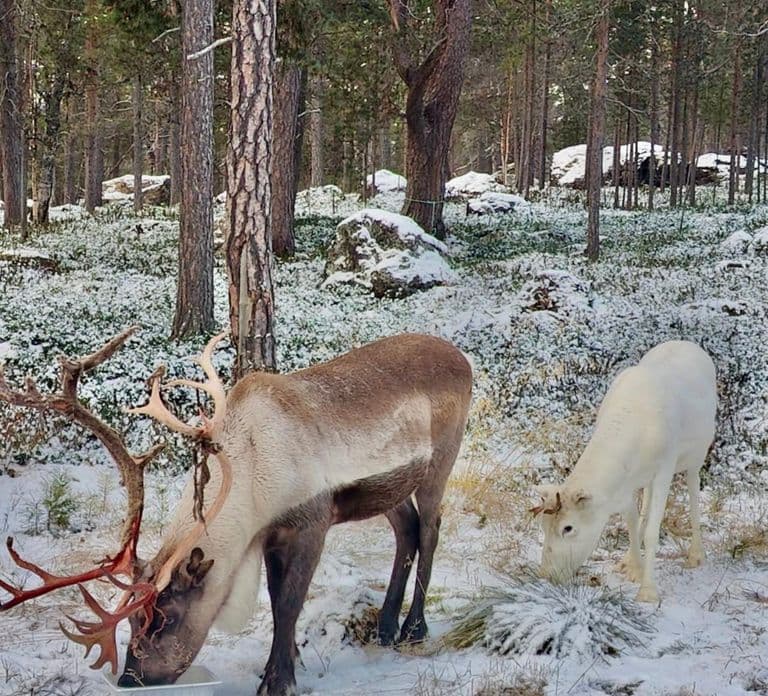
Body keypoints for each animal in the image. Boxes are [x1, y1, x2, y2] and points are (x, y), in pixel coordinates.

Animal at [0, 328, 472, 695]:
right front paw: (284, 663)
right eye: (132, 619)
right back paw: (386, 628)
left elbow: (288, 605)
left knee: (430, 529)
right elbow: (278, 600)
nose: (131, 679)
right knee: (407, 530)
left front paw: (278, 682)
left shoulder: (311, 522)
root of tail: (462, 357)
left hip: (441, 461)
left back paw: (414, 629)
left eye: (163, 619)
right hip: (392, 489)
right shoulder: (271, 536)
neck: (254, 473)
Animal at [532, 340, 717, 603]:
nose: (546, 575)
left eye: (568, 528)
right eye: (543, 526)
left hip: (695, 458)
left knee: (693, 493)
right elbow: (631, 519)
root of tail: (687, 343)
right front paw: (633, 567)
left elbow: (652, 531)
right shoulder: (626, 483)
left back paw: (696, 554)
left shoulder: (665, 468)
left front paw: (648, 591)